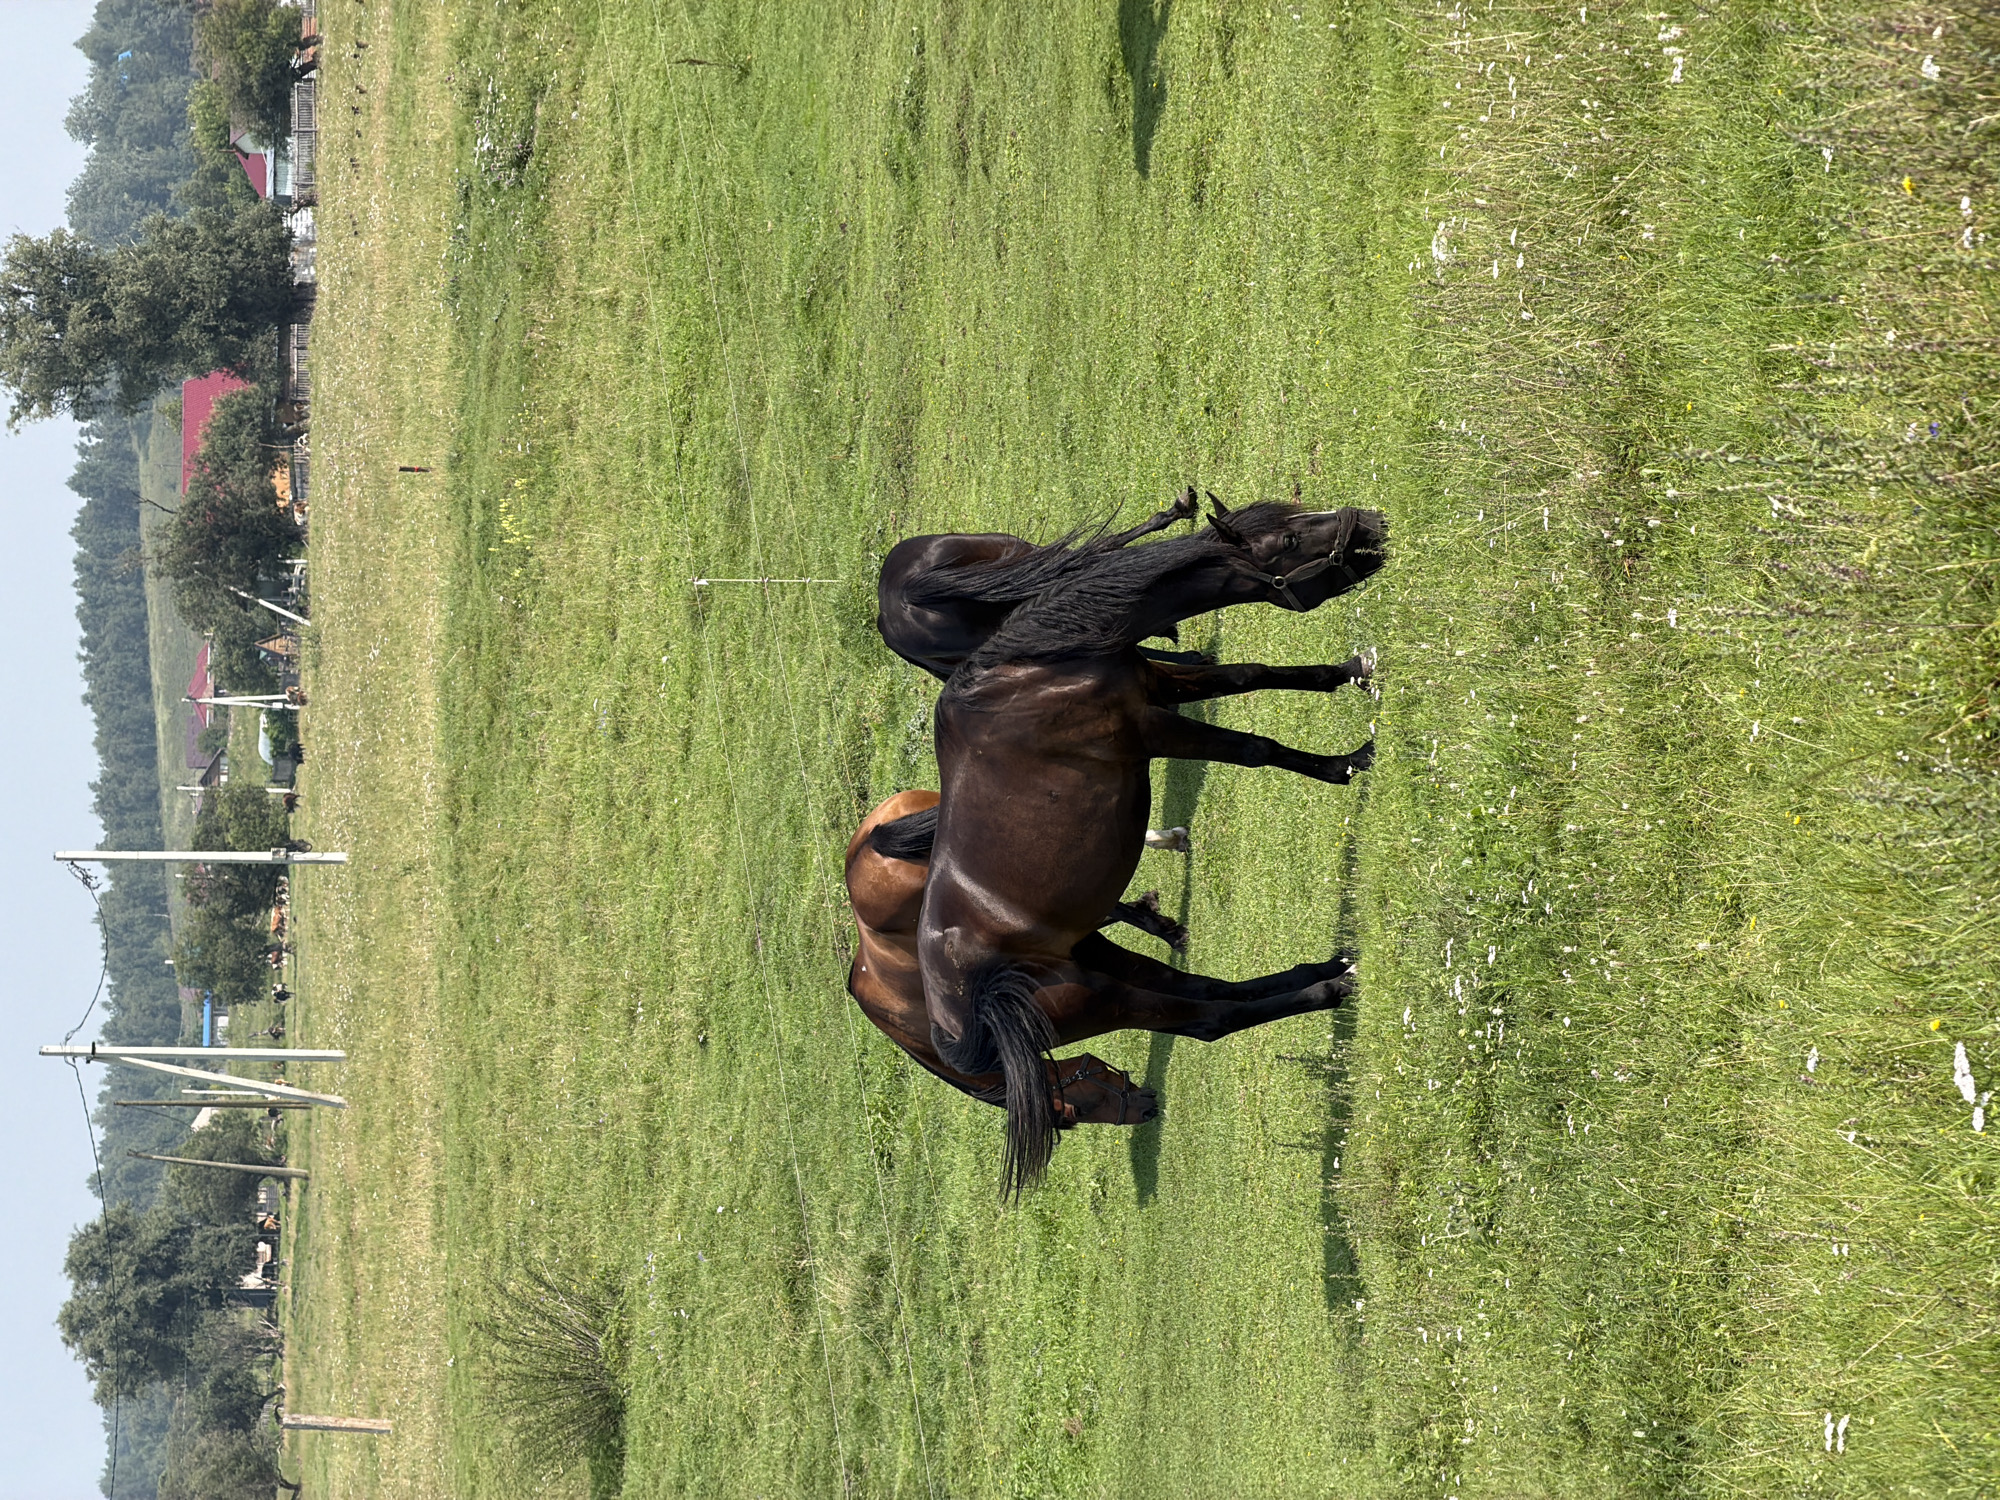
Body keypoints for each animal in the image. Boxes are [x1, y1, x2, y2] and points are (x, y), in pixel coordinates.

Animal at [918, 497, 1388, 1193]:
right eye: (1287, 540)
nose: (1373, 523)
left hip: (1105, 961)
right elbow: (1256, 748)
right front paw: (1350, 763)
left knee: (1209, 989)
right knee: (1208, 1019)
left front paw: (1355, 673)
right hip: (1107, 998)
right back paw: (1333, 990)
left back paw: (1330, 967)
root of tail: (949, 1025)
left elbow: (1254, 673)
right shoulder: (1150, 726)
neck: (1041, 667)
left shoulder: (1161, 684)